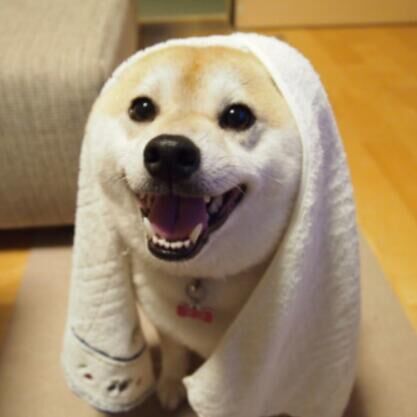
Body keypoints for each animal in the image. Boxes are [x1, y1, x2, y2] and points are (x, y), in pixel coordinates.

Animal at [90, 45, 302, 410]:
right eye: (141, 108)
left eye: (238, 116)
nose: (170, 152)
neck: (198, 280)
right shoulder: (165, 322)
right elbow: (174, 352)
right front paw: (172, 384)